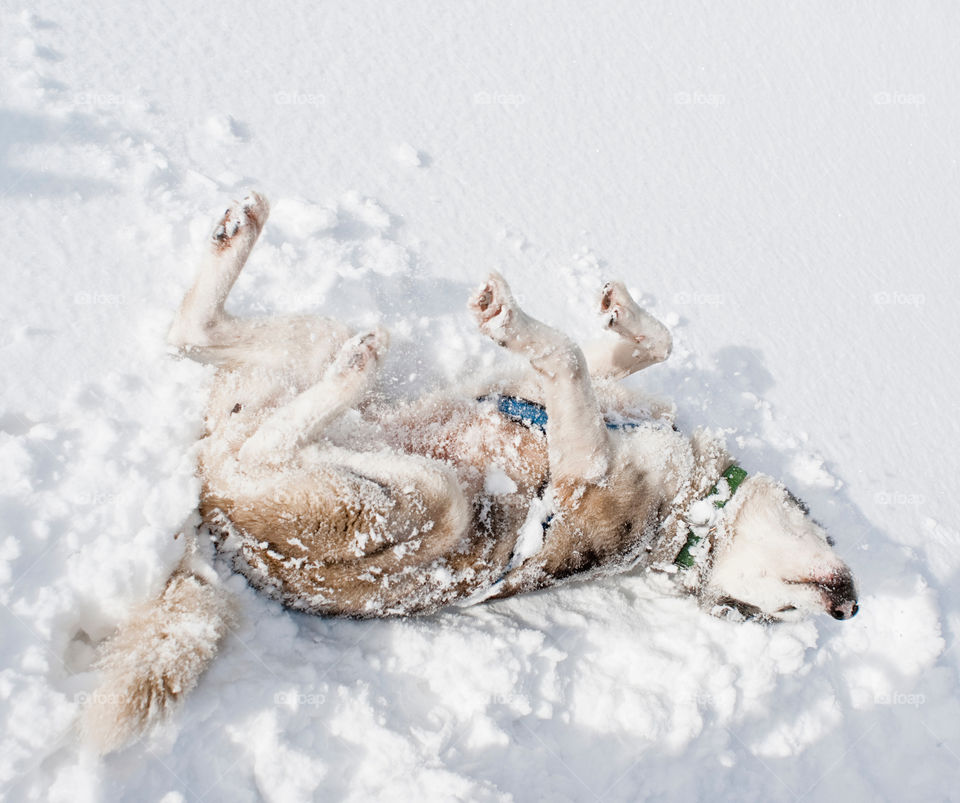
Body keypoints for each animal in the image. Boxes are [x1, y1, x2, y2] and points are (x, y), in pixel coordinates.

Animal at [82, 193, 860, 752]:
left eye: (766, 619)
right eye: (821, 529)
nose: (850, 610)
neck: (686, 514)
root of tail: (208, 523)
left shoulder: (581, 465)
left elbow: (567, 354)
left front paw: (514, 317)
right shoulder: (551, 396)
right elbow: (621, 349)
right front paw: (619, 313)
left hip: (425, 499)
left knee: (251, 432)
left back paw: (352, 365)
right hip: (307, 359)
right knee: (192, 338)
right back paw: (240, 236)